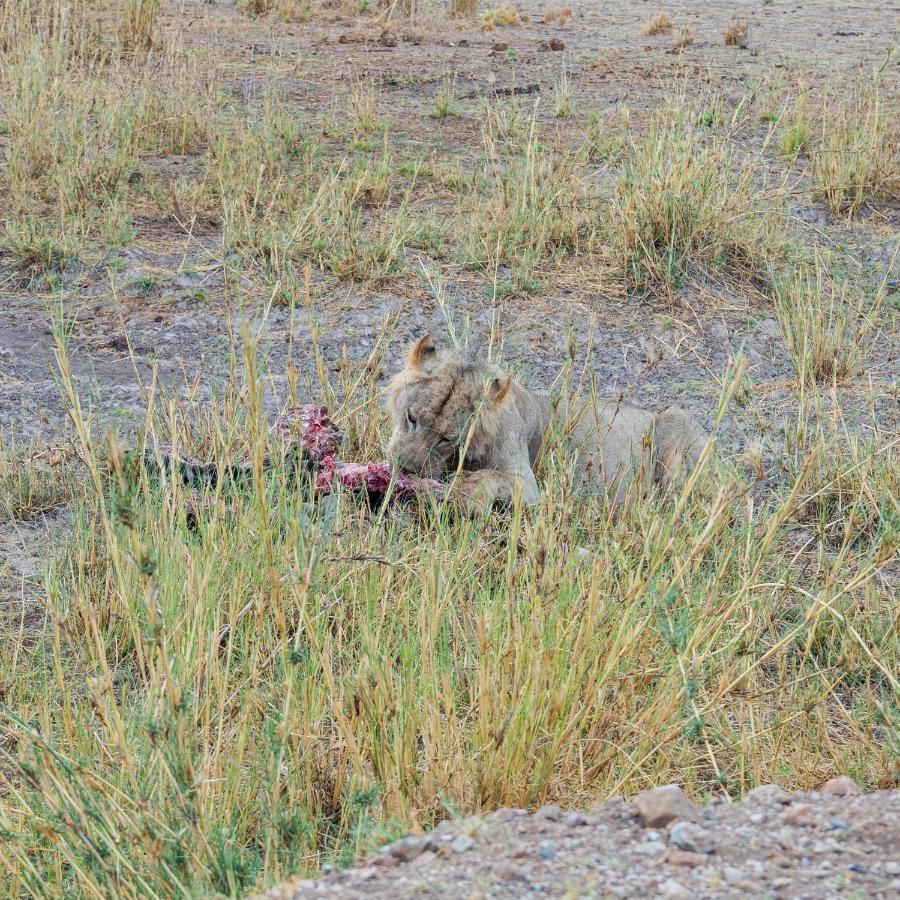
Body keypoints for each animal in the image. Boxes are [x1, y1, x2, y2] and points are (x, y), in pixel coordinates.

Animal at [384, 334, 712, 510]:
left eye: (446, 439)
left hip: (677, 420)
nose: (406, 469)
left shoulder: (528, 488)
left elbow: (494, 477)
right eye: (411, 418)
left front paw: (464, 489)